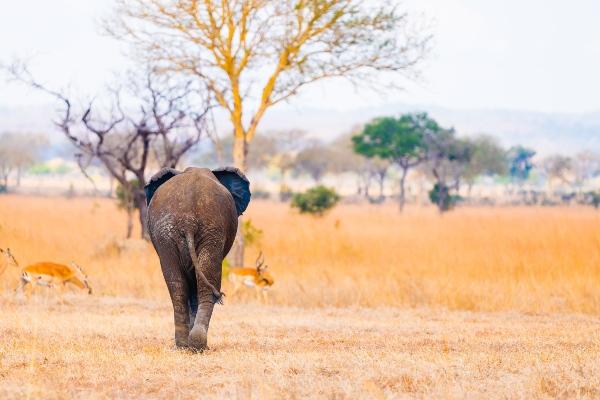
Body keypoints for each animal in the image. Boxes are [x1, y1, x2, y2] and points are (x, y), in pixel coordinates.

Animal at [144, 166, 251, 350]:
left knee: (176, 285)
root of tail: (188, 221)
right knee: (206, 281)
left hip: (168, 234)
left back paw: (183, 345)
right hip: (209, 231)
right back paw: (199, 345)